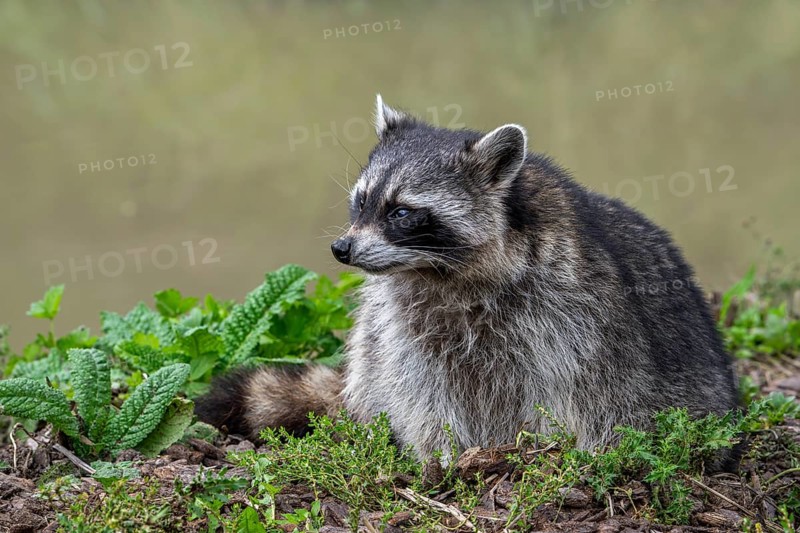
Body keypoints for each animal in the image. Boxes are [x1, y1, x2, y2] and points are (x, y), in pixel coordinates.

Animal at [197, 95, 739, 466]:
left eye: (402, 212)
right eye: (362, 201)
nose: (341, 249)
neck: (436, 272)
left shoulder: (571, 309)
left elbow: (579, 386)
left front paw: (559, 450)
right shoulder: (404, 320)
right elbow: (417, 381)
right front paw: (439, 451)